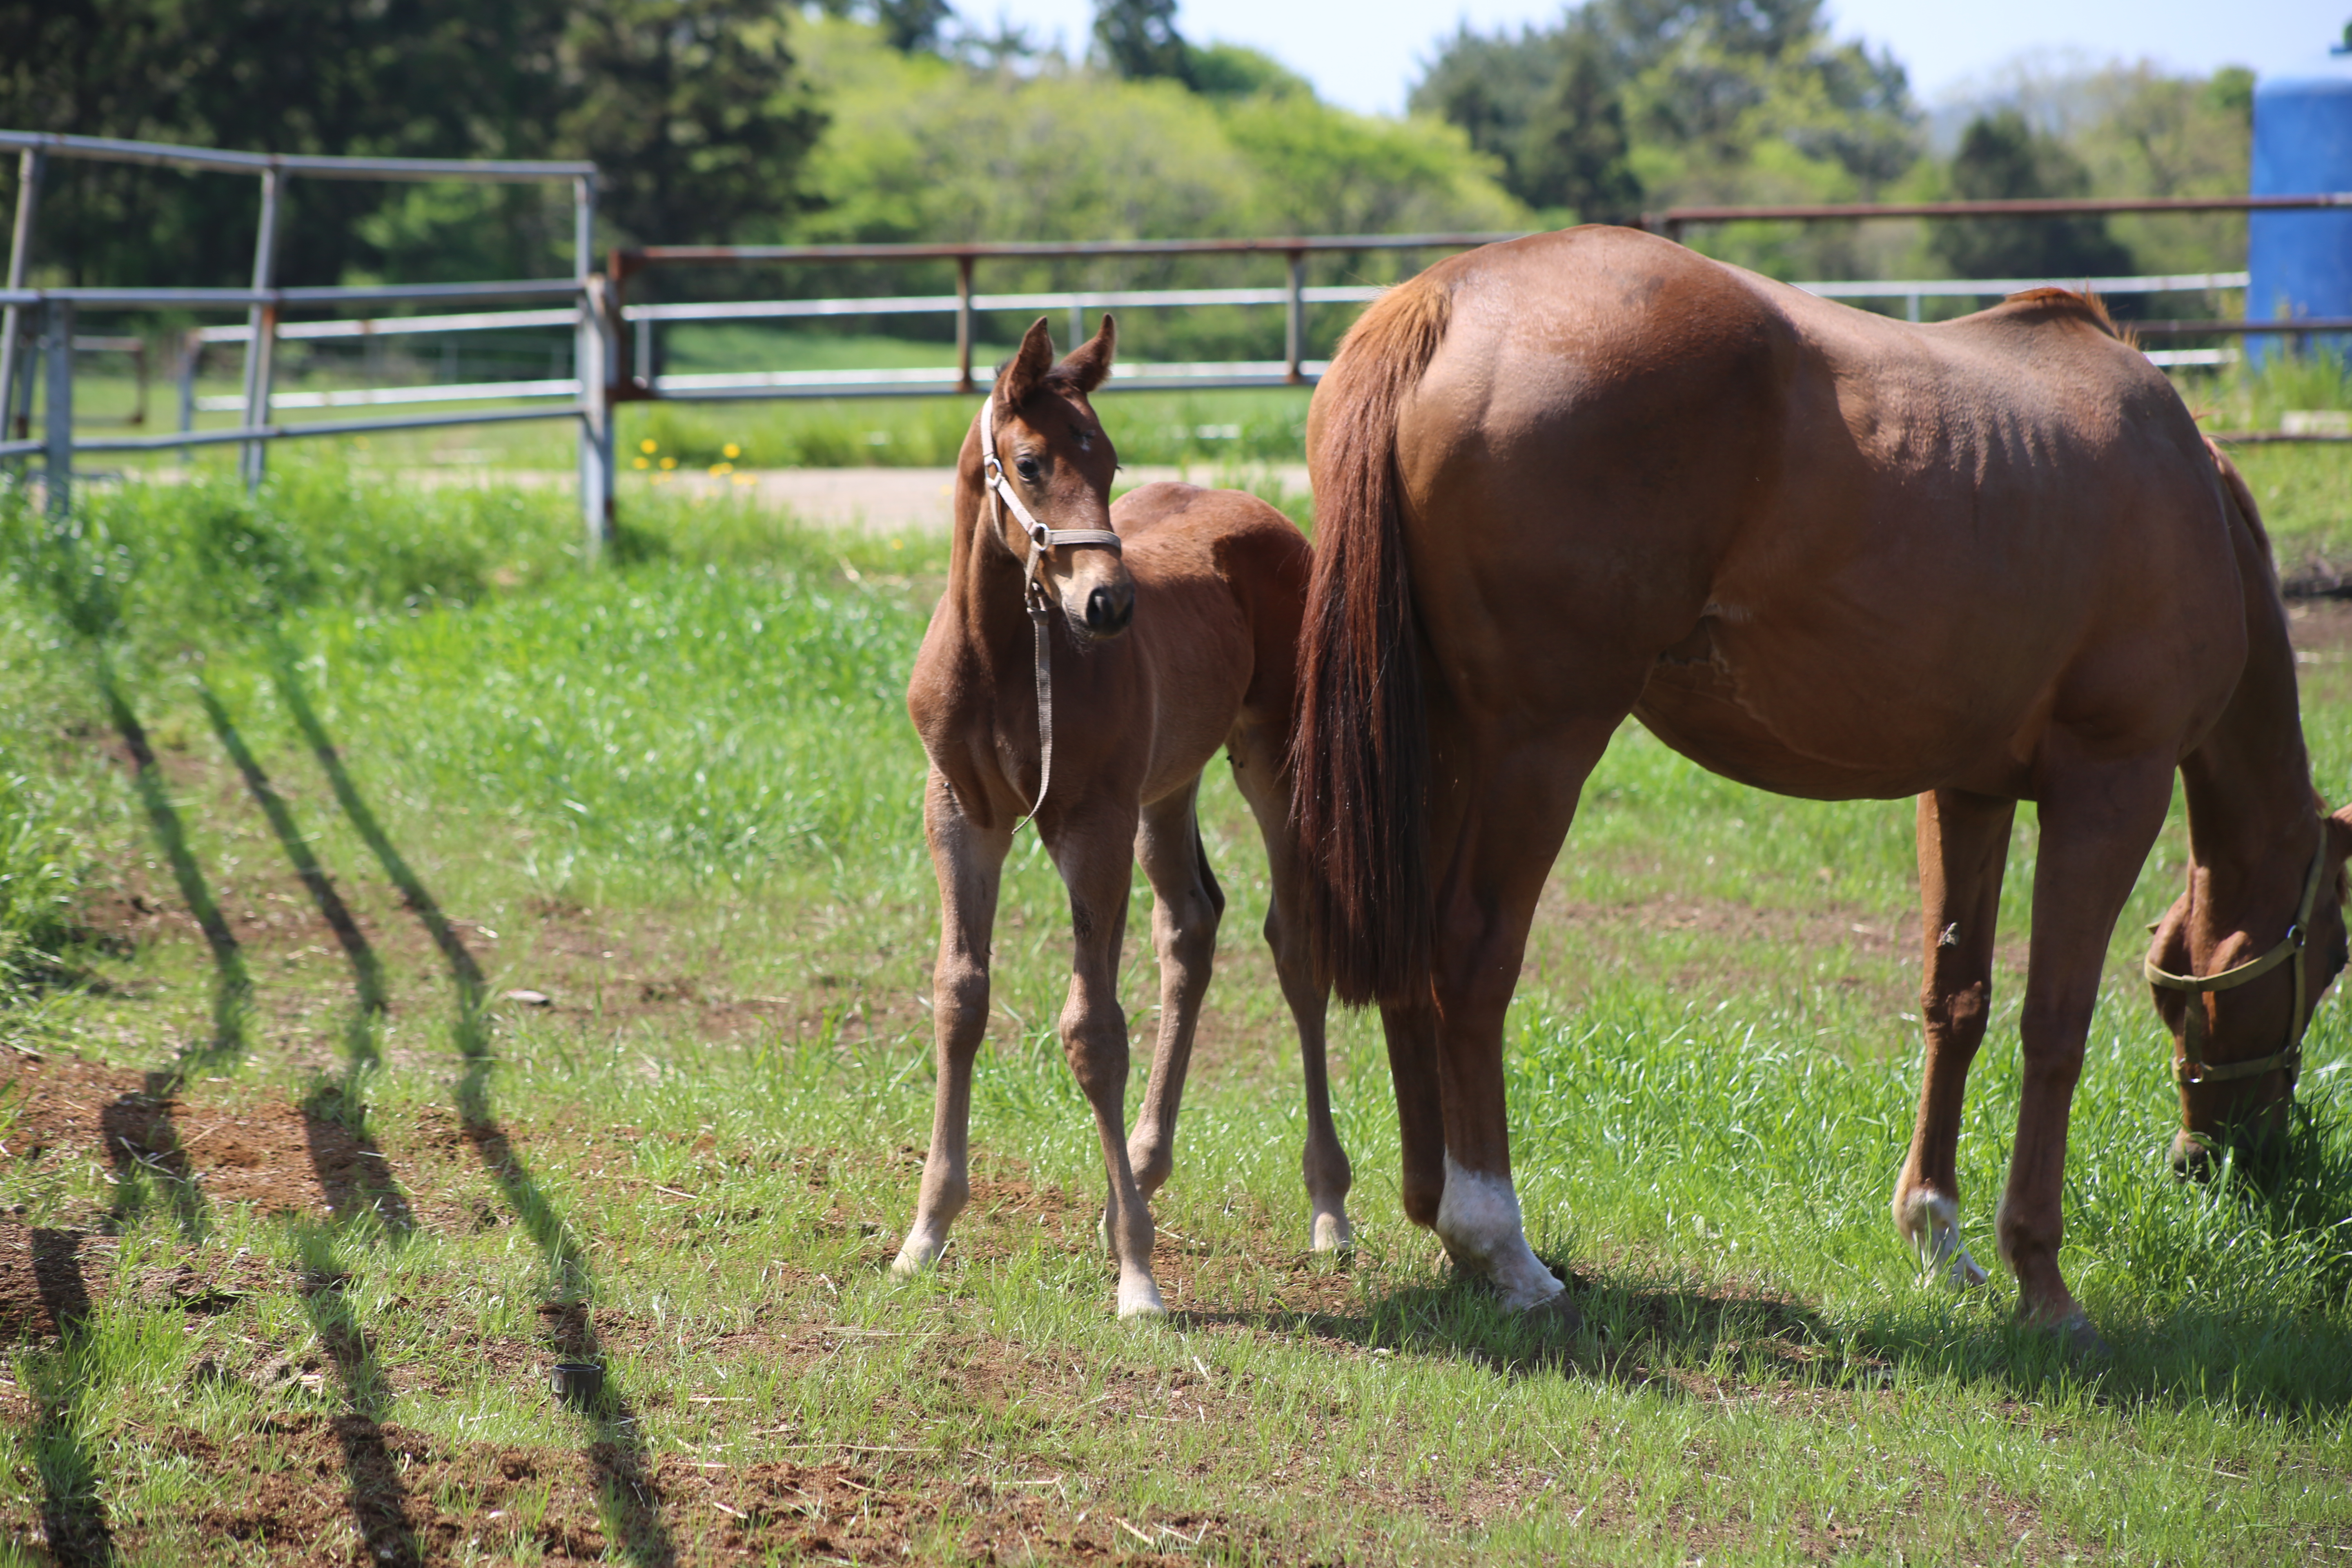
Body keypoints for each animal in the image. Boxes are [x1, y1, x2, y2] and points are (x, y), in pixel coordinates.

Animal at [889, 315, 1354, 1316]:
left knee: (1294, 945)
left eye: (1105, 460)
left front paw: (1139, 1276)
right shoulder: (959, 812)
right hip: (1164, 790)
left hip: (1270, 763)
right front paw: (926, 1232)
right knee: (1190, 927)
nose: (1109, 604)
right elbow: (960, 996)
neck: (1006, 656)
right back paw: (1136, 1173)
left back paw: (1327, 1206)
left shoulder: (1089, 822)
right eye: (1030, 464)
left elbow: (1093, 1032)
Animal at [1298, 227, 2342, 1354]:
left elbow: (1956, 1003)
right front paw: (2041, 1278)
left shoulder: (1966, 790)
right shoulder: (2111, 785)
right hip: (1538, 744)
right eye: (2330, 960)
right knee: (1470, 954)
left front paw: (1937, 1235)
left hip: (1439, 736)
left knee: (1412, 950)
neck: (2184, 491)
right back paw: (1500, 1244)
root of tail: (1446, 295)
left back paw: (1435, 1214)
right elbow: (2054, 1027)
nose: (2228, 1159)